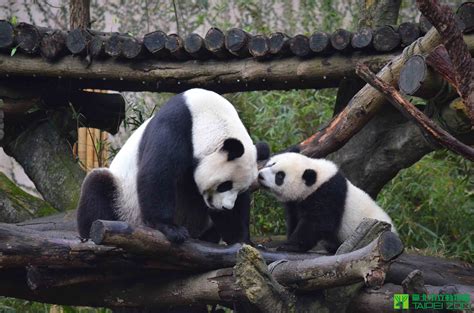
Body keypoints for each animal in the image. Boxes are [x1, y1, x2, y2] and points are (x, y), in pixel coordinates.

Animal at [78, 88, 270, 244]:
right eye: (224, 185)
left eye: (239, 189)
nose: (225, 208)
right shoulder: (175, 126)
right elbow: (157, 173)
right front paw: (171, 228)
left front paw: (243, 239)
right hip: (125, 201)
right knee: (98, 186)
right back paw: (89, 234)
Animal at [258, 151, 394, 251]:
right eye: (271, 164)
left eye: (280, 176)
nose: (260, 176)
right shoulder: (296, 202)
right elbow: (294, 219)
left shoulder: (328, 194)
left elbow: (317, 223)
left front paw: (289, 246)